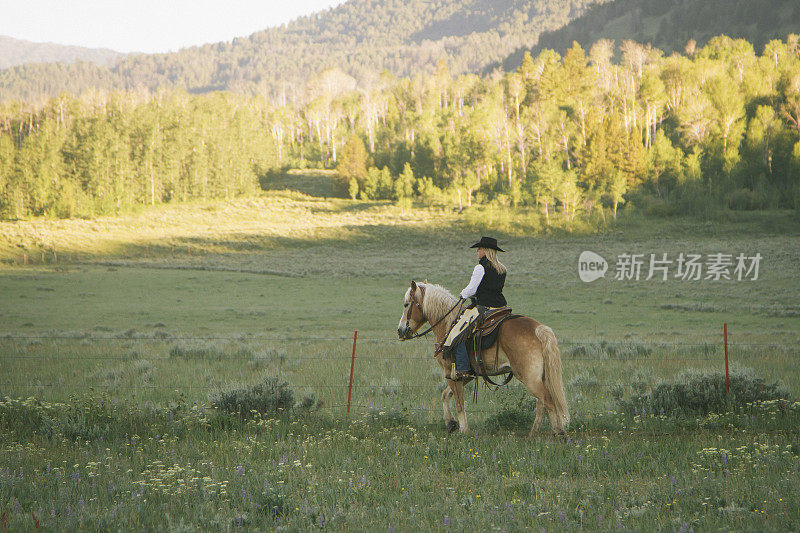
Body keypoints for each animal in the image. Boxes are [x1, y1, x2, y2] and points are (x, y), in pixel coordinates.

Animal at [396, 280, 564, 434]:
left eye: (406, 304)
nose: (400, 330)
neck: (448, 324)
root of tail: (538, 328)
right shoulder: (466, 375)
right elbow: (445, 394)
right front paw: (450, 423)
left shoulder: (451, 373)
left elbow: (459, 403)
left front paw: (463, 430)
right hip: (540, 377)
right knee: (541, 404)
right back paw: (533, 434)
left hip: (529, 377)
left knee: (548, 401)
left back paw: (557, 433)